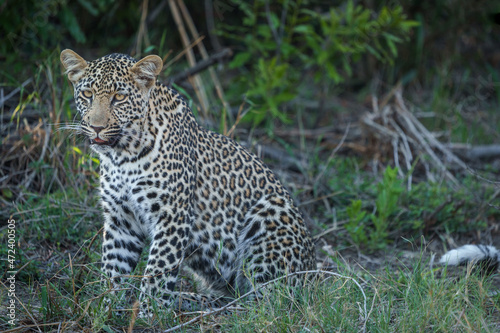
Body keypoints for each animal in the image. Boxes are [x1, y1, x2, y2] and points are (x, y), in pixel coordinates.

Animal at [59, 48, 316, 314]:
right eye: (87, 94)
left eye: (119, 97)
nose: (97, 128)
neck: (121, 155)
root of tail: (312, 277)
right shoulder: (121, 218)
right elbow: (113, 267)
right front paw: (105, 309)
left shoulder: (172, 214)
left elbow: (158, 270)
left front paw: (147, 313)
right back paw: (186, 300)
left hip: (271, 215)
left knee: (266, 304)